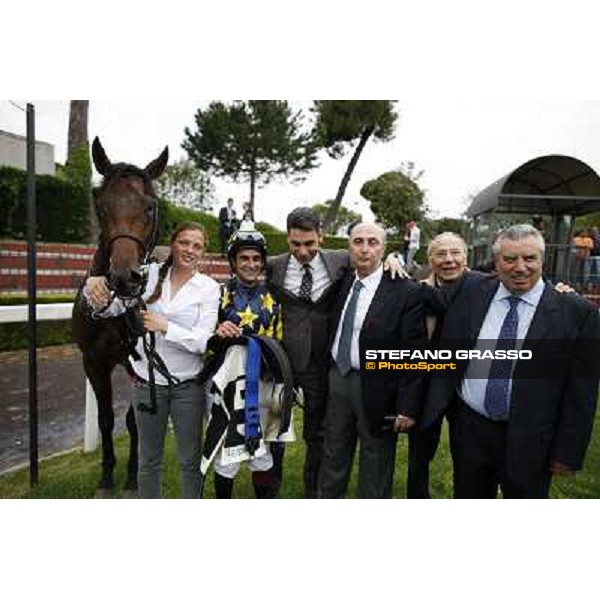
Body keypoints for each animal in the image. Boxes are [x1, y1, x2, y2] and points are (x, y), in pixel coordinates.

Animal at [74, 137, 170, 496]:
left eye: (151, 206)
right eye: (100, 204)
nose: (124, 278)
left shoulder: (139, 362)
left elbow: (134, 422)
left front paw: (131, 477)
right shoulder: (93, 361)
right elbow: (105, 420)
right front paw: (106, 477)